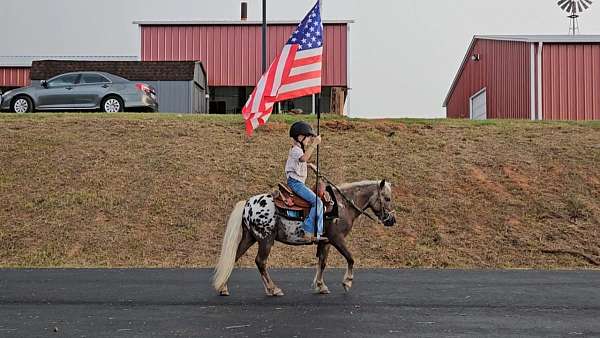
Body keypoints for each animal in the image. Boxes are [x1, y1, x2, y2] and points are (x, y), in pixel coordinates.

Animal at [213, 180, 396, 296]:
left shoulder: (326, 242)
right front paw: (347, 282)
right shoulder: (336, 238)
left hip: (250, 237)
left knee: (235, 257)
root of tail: (247, 204)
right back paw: (273, 289)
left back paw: (223, 288)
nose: (392, 220)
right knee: (260, 262)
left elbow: (322, 262)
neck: (342, 206)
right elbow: (350, 258)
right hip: (266, 239)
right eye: (387, 198)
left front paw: (321, 286)